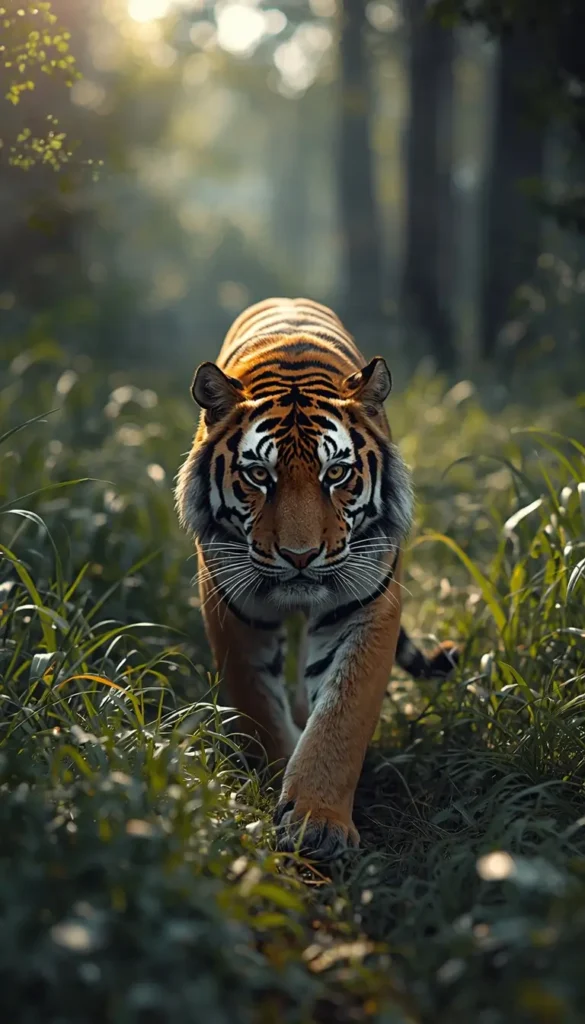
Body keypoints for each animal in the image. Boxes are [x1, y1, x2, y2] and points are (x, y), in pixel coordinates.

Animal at [175, 297, 457, 860]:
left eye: (336, 474)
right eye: (259, 476)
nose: (300, 556)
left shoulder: (368, 606)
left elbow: (342, 718)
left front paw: (317, 820)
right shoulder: (232, 609)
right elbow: (257, 705)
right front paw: (275, 779)